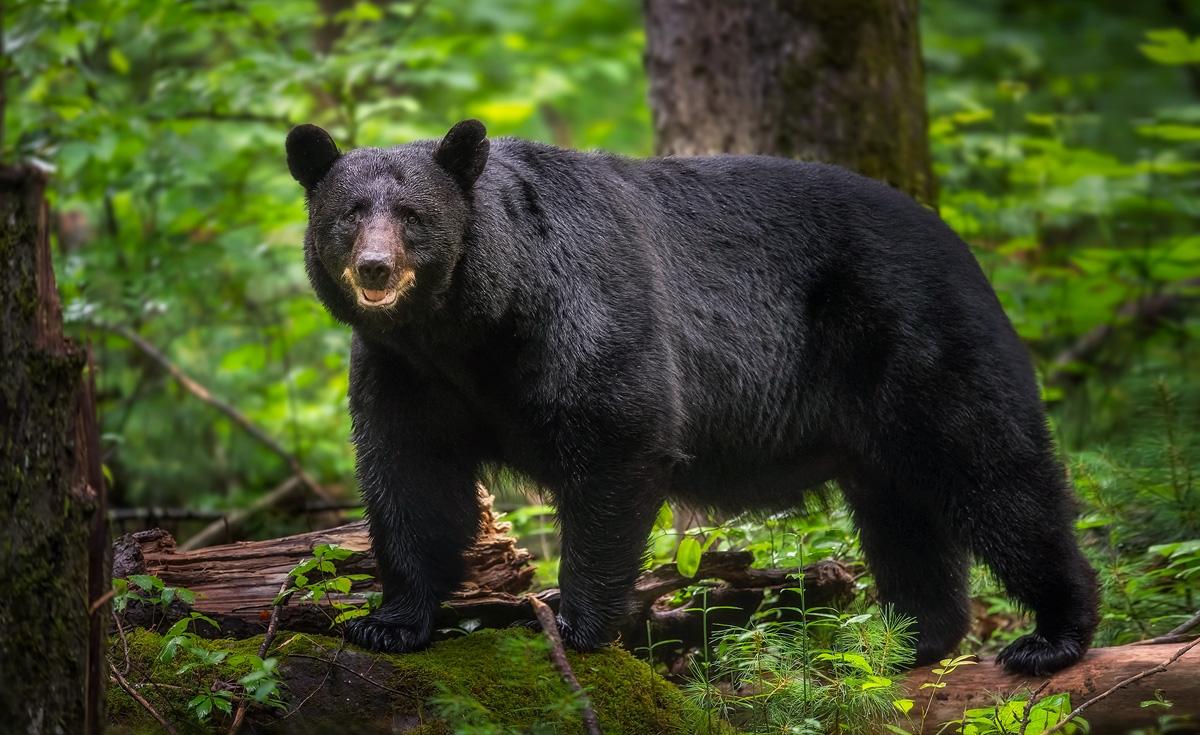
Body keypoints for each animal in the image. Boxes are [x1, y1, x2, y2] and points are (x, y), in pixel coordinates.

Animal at [285, 119, 1098, 676]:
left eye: (414, 216)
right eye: (349, 213)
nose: (376, 268)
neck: (470, 323)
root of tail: (957, 240)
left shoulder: (583, 307)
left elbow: (618, 435)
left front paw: (575, 618)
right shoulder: (406, 371)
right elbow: (412, 479)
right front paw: (387, 621)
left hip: (917, 338)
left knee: (994, 472)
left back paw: (1052, 633)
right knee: (903, 515)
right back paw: (910, 639)